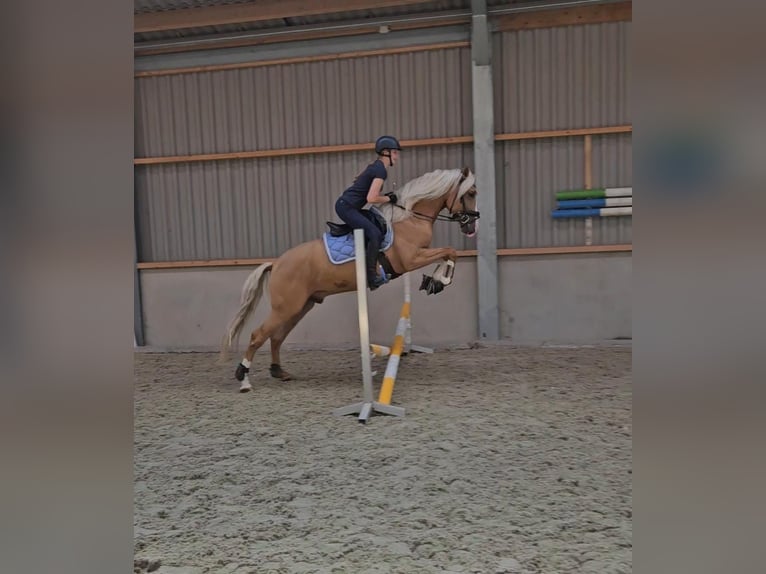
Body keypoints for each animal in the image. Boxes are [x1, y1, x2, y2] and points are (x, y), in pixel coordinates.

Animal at [220, 166, 480, 392]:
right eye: (471, 193)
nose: (471, 226)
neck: (410, 218)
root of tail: (276, 263)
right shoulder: (411, 259)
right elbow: (449, 252)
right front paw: (439, 281)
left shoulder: (418, 256)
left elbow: (448, 253)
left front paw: (434, 281)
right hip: (287, 308)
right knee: (258, 336)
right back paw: (244, 380)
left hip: (301, 307)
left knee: (276, 337)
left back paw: (278, 372)